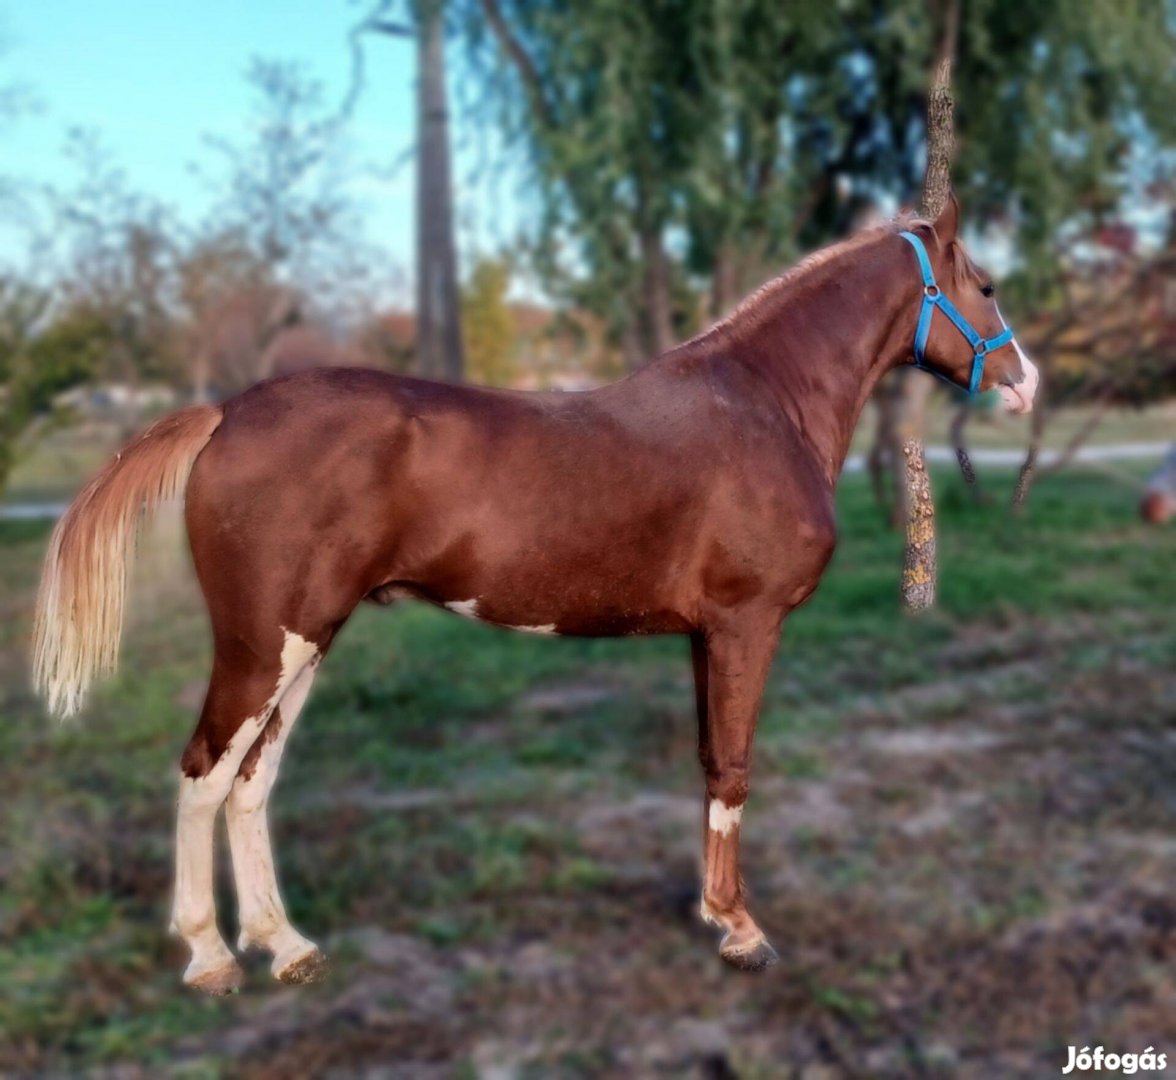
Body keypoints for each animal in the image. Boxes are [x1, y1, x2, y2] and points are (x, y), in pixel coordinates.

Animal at [29, 196, 1039, 997]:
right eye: (986, 285)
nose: (1027, 382)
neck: (762, 403)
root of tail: (226, 414)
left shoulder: (705, 636)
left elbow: (708, 763)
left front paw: (714, 914)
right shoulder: (745, 626)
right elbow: (735, 769)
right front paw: (742, 931)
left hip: (304, 643)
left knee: (251, 781)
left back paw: (286, 945)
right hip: (262, 643)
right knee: (205, 772)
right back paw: (209, 958)